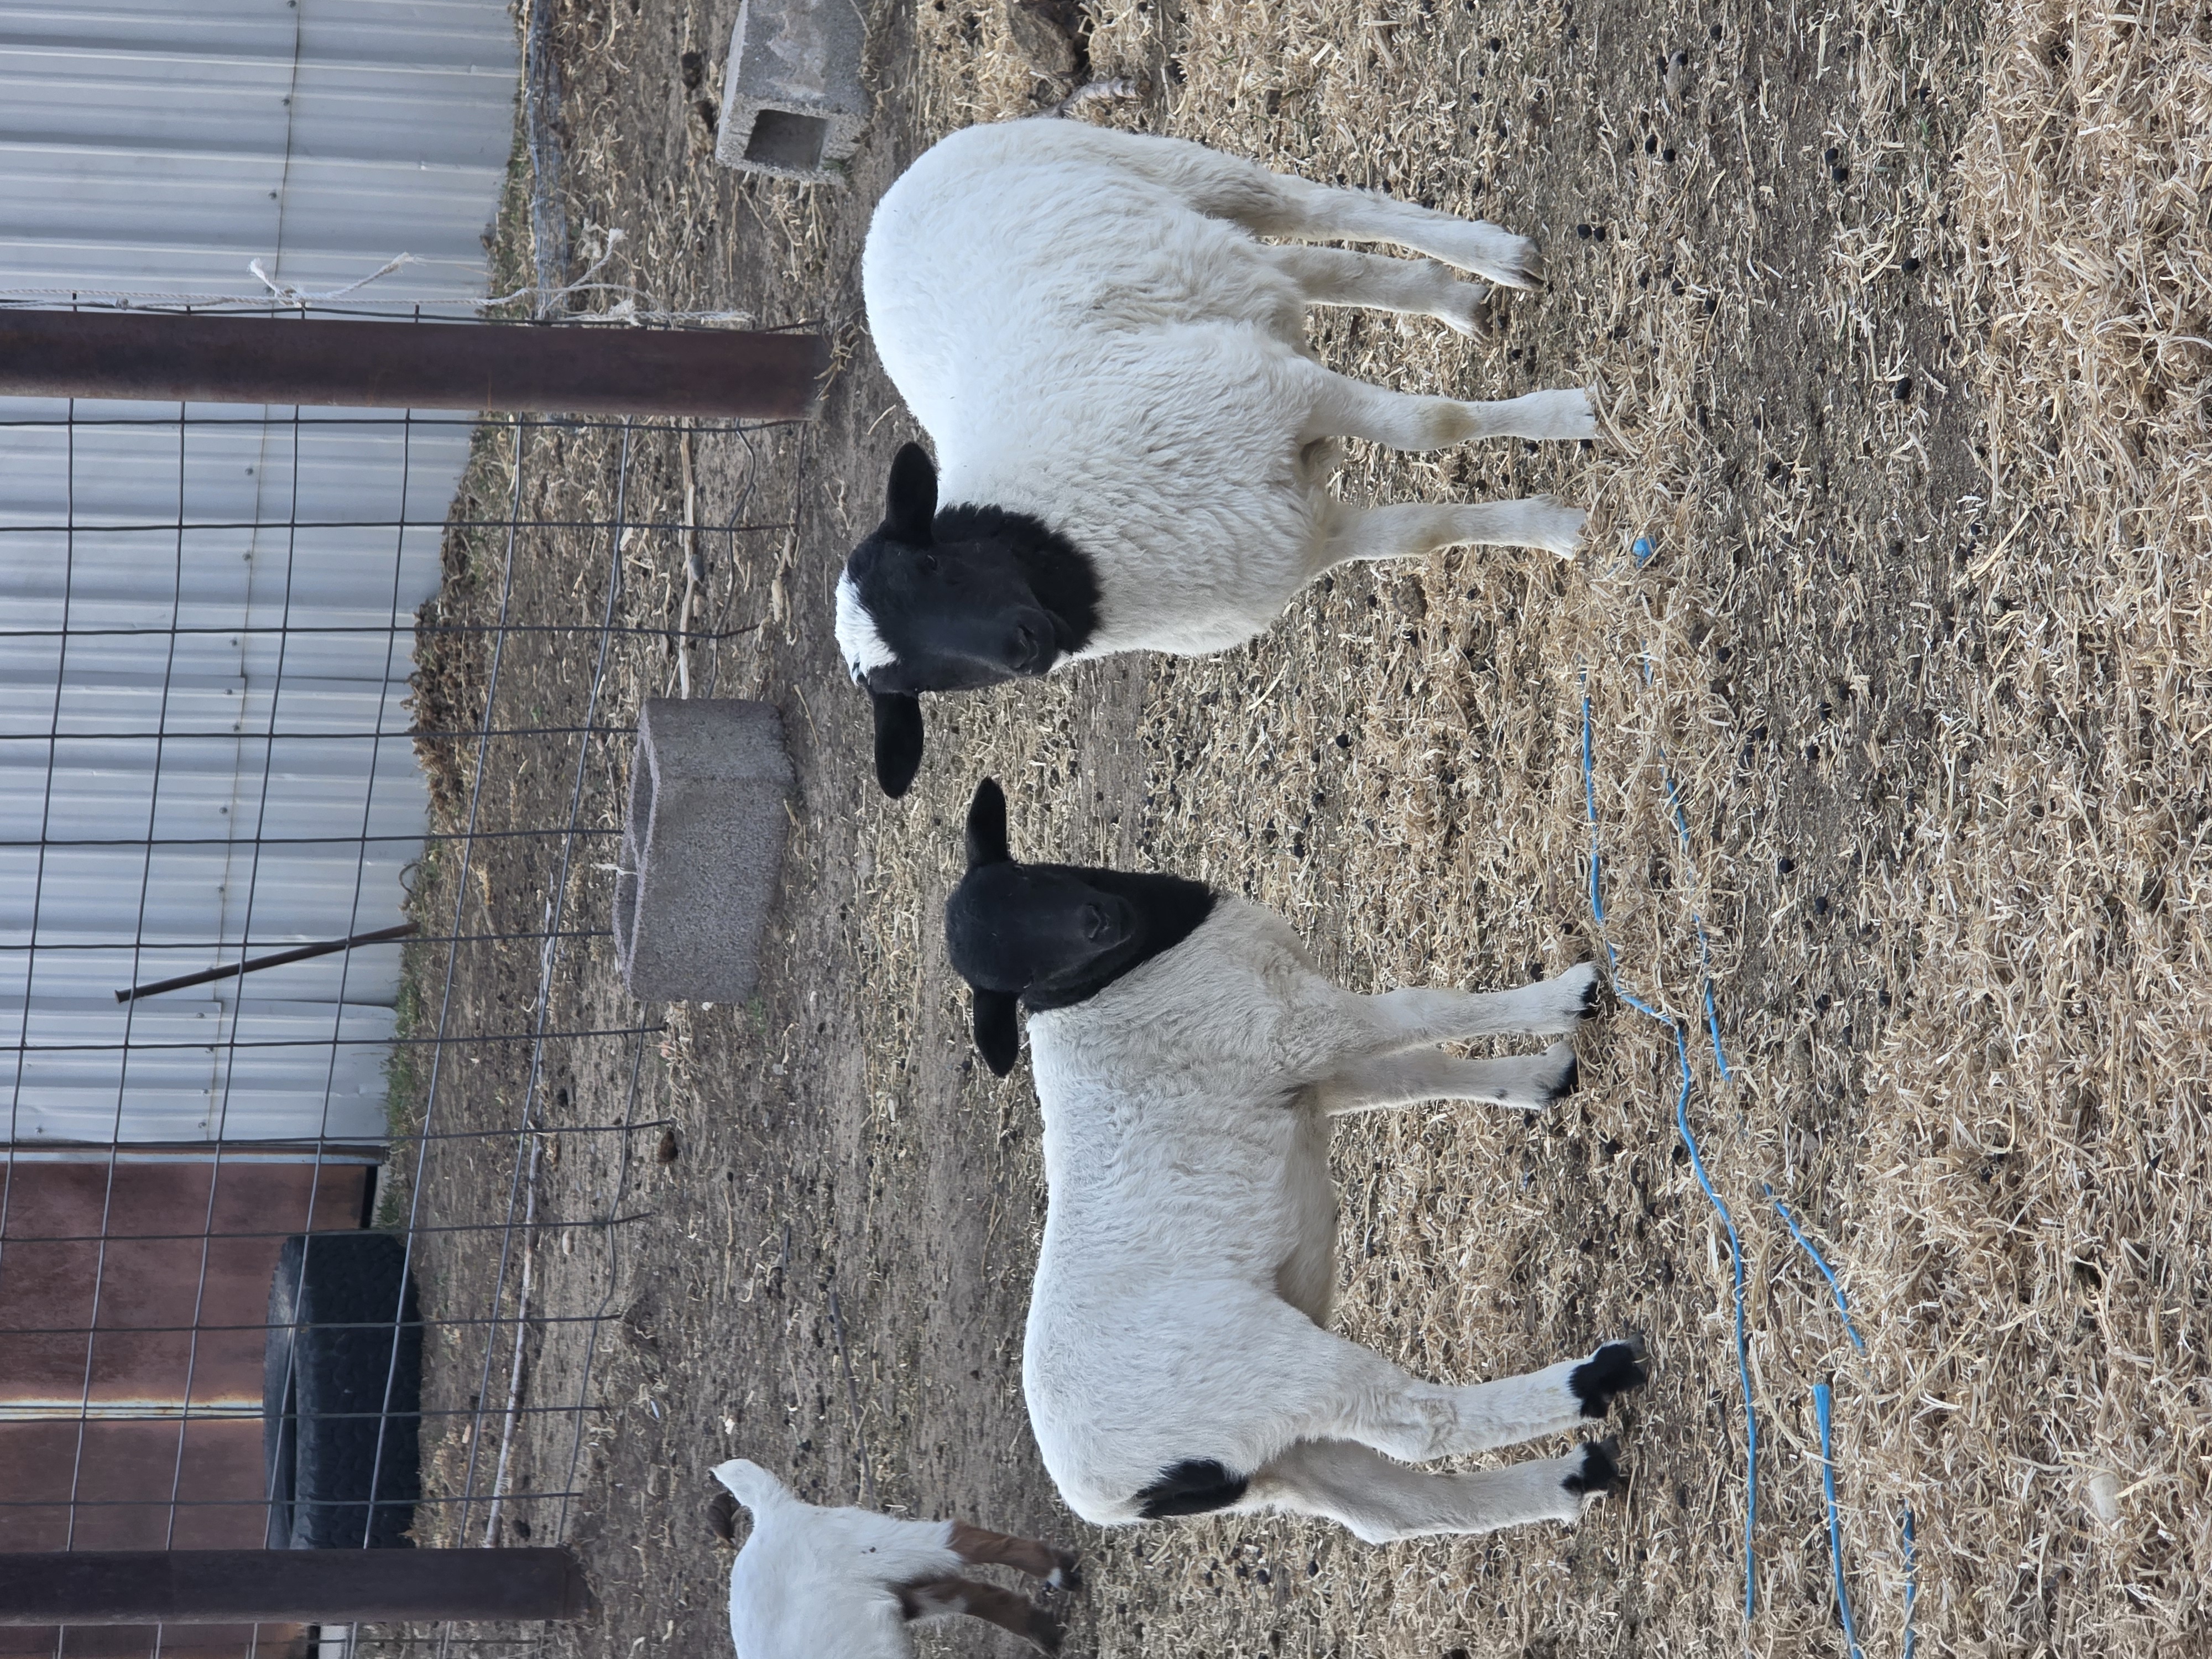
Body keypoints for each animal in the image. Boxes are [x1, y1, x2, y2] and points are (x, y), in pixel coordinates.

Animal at [710, 1458, 1078, 1657]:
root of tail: (771, 1514)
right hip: (886, 1588)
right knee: (959, 1594)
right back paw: (1044, 1631)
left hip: (867, 1543)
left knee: (958, 1540)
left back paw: (1061, 1573)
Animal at [841, 118, 1600, 796]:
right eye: (920, 684)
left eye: (934, 564)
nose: (1024, 647)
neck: (1069, 541)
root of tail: (886, 208)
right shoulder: (1297, 542)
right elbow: (1425, 532)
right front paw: (1552, 528)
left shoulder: (1285, 392)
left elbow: (1432, 424)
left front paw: (1570, 418)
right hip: (1202, 267)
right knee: (1312, 271)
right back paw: (1454, 299)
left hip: (1164, 167)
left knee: (1322, 211)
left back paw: (1495, 258)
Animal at [940, 779, 1647, 1542]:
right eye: (1020, 971)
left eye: (1027, 879)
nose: (1102, 921)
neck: (1115, 979)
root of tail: (1115, 1496)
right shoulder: (1291, 1033)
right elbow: (1421, 1011)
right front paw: (1568, 998)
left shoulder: (1303, 1074)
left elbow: (1414, 1074)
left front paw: (1539, 1079)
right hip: (1271, 1372)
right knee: (1419, 1426)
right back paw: (1594, 1380)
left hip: (1276, 1455)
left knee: (1392, 1511)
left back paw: (1572, 1477)